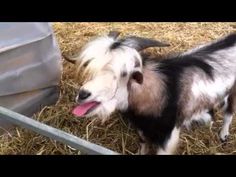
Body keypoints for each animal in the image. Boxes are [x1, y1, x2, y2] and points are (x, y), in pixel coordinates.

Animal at [64, 31, 236, 155]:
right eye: (91, 68)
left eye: (124, 74)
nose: (83, 94)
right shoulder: (142, 129)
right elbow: (143, 146)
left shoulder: (168, 137)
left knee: (229, 112)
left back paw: (223, 135)